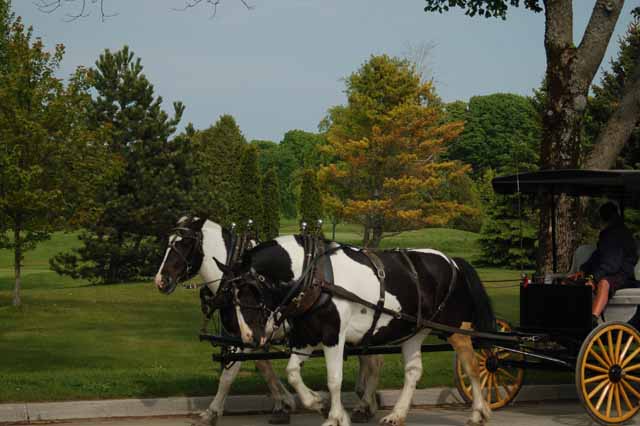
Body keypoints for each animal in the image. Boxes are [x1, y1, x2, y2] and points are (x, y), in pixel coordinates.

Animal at [154, 216, 384, 426]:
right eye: (168, 243)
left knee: (374, 362)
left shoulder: (247, 336)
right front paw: (284, 403)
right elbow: (264, 367)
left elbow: (229, 376)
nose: (161, 280)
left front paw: (212, 412)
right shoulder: (253, 335)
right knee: (368, 360)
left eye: (184, 243)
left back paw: (365, 404)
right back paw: (366, 400)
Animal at [224, 243, 496, 426]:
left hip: (455, 328)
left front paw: (335, 417)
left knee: (471, 366)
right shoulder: (307, 337)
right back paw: (397, 414)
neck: (315, 277)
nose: (247, 337)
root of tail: (453, 261)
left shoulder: (334, 336)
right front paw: (316, 402)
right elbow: (292, 372)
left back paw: (478, 413)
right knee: (413, 371)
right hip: (414, 331)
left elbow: (334, 379)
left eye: (249, 293)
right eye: (232, 298)